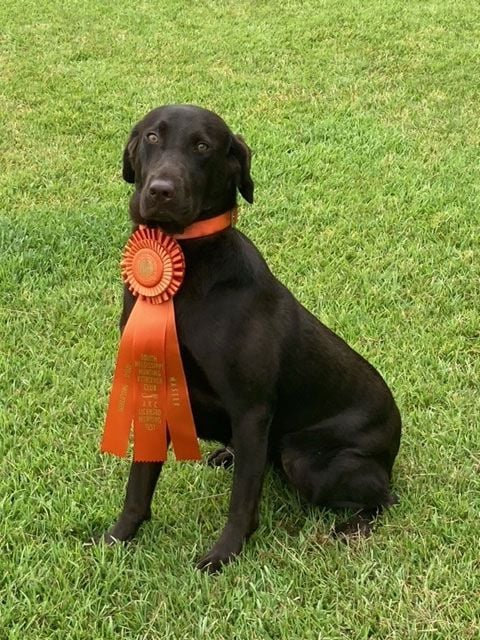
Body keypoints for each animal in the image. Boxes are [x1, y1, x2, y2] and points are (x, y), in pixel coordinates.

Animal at [101, 106, 402, 576]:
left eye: (202, 146)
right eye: (152, 137)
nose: (162, 191)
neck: (188, 266)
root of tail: (395, 439)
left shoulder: (252, 409)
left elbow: (242, 498)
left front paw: (224, 554)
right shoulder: (156, 391)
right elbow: (139, 482)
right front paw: (119, 536)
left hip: (307, 457)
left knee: (382, 497)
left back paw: (352, 528)